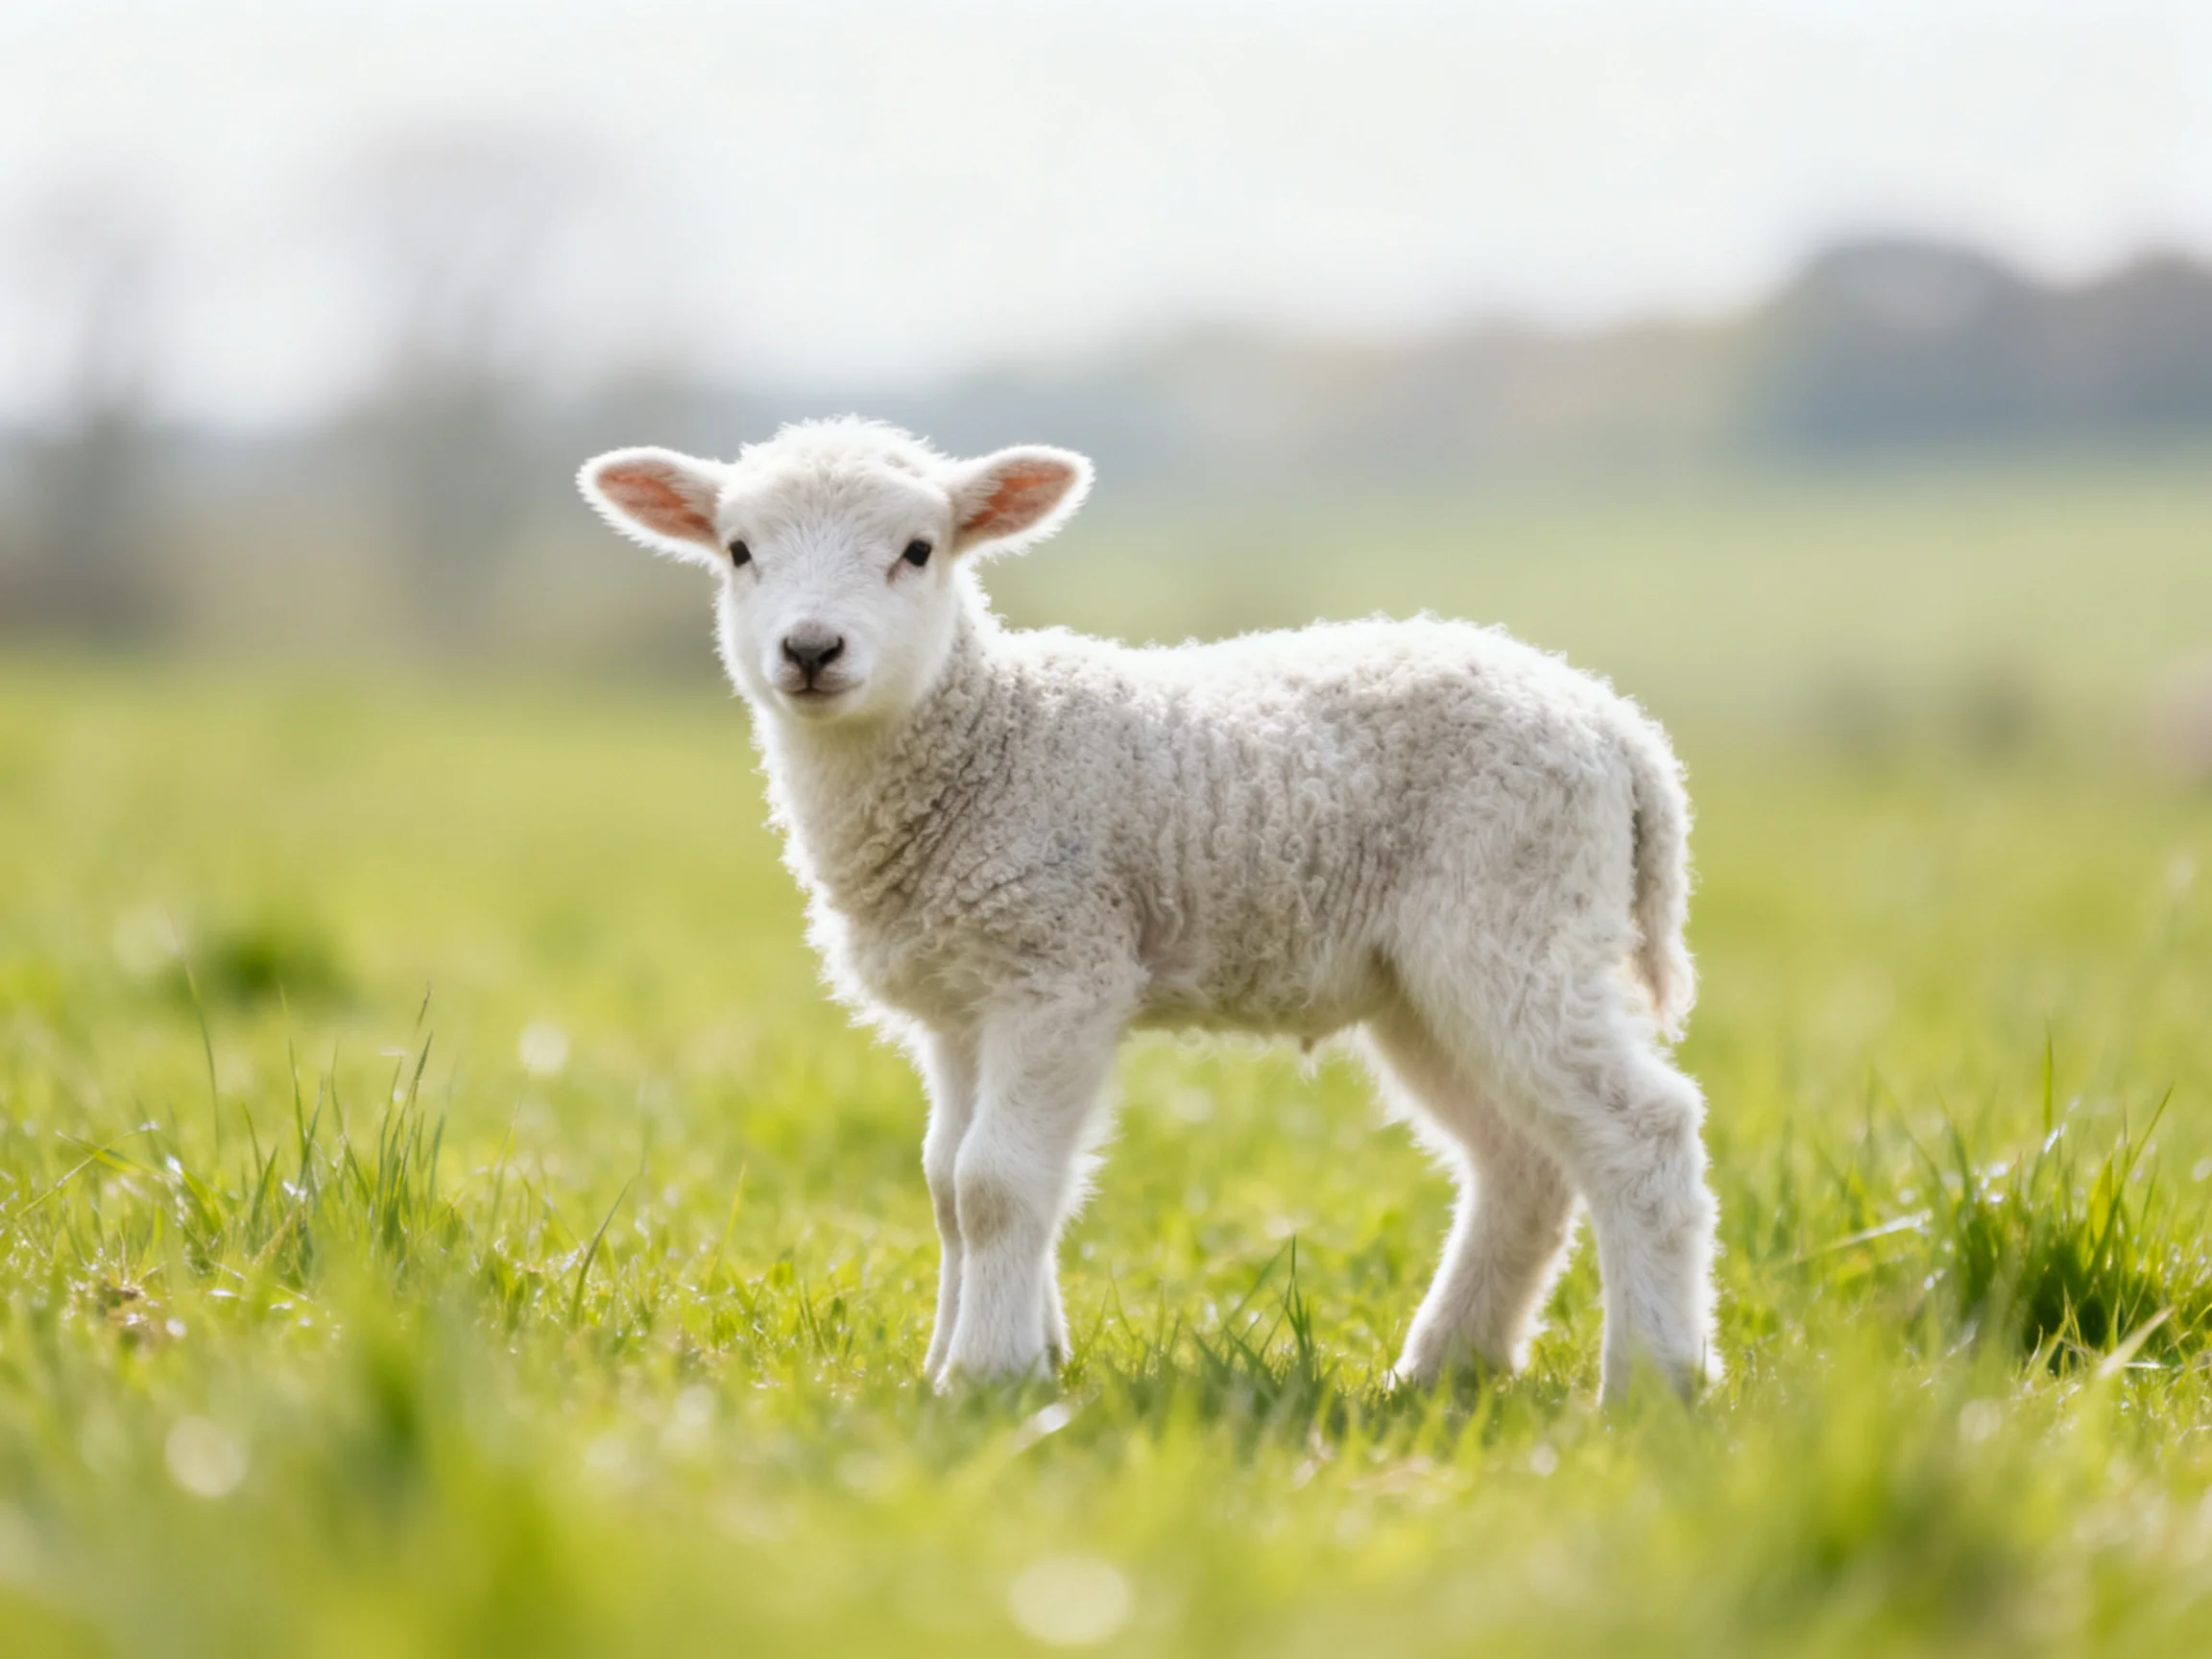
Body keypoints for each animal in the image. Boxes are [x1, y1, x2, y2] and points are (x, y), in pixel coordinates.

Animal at [578, 417, 1720, 1401]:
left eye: (917, 549)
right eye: (738, 551)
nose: (812, 651)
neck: (983, 741)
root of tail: (1618, 729)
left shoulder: (1059, 966)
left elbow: (997, 1182)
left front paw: (984, 1379)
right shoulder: (960, 999)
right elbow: (948, 1184)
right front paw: (992, 1357)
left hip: (1514, 917)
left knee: (1643, 1133)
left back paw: (1652, 1386)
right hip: (1425, 982)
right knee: (1522, 1164)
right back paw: (1444, 1370)